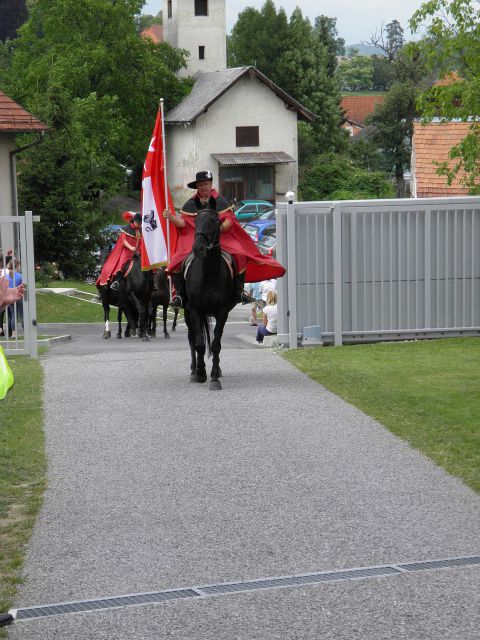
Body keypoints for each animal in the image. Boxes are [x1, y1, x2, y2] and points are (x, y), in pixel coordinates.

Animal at [184, 210, 234, 390]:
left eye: (214, 222)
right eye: (195, 221)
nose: (198, 248)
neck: (209, 276)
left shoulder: (222, 312)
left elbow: (216, 344)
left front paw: (214, 378)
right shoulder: (195, 311)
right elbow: (199, 344)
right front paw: (200, 373)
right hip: (187, 314)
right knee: (192, 339)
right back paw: (193, 371)